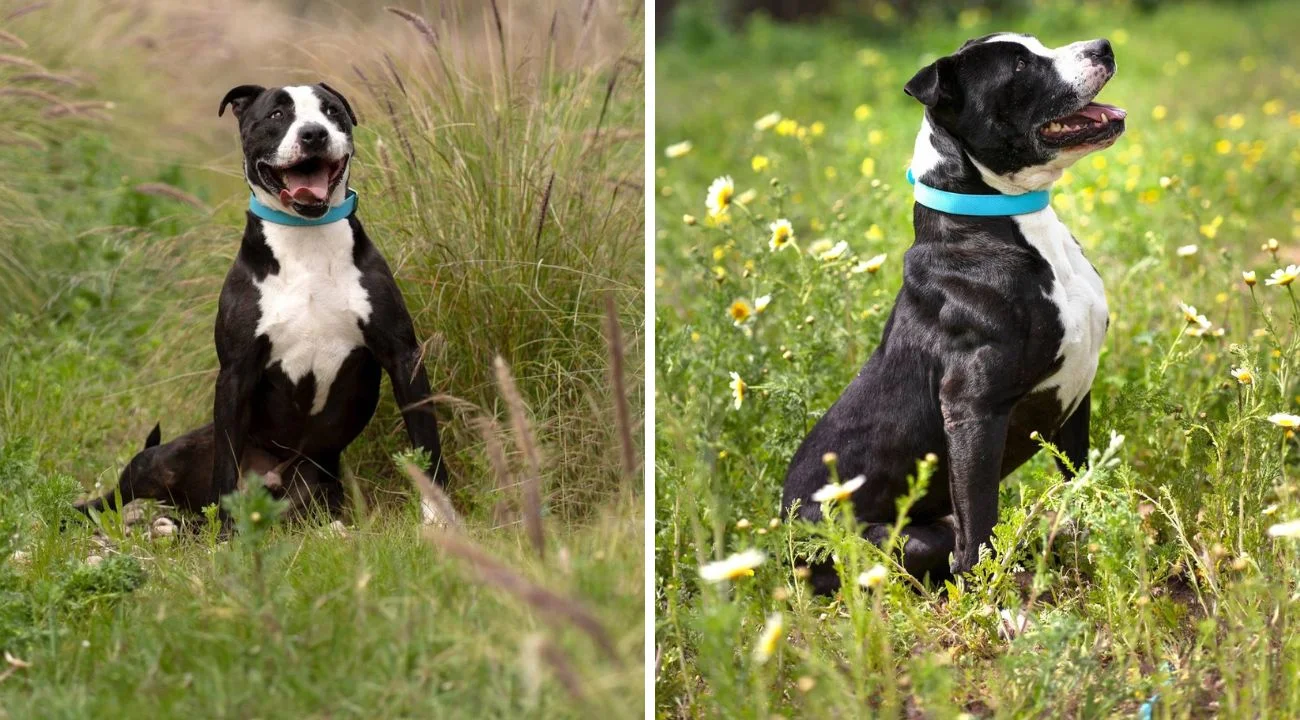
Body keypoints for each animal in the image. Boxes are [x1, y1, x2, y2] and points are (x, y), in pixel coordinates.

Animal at [780, 33, 1128, 587]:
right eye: (1020, 65)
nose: (1103, 45)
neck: (1009, 217)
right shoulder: (973, 410)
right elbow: (978, 534)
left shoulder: (1076, 397)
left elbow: (1081, 485)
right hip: (908, 537)